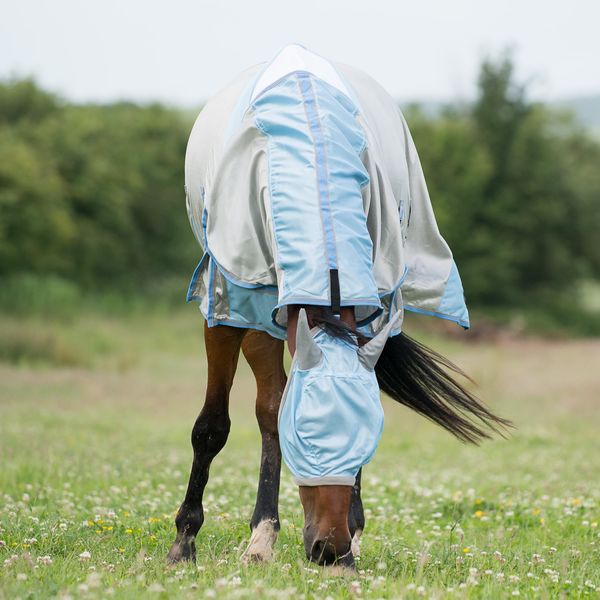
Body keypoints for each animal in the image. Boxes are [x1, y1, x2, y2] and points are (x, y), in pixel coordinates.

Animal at [168, 45, 510, 568]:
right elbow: (214, 428)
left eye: (367, 438)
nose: (330, 551)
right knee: (267, 408)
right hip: (259, 322)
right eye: (305, 438)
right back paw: (261, 537)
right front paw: (184, 540)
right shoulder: (228, 306)